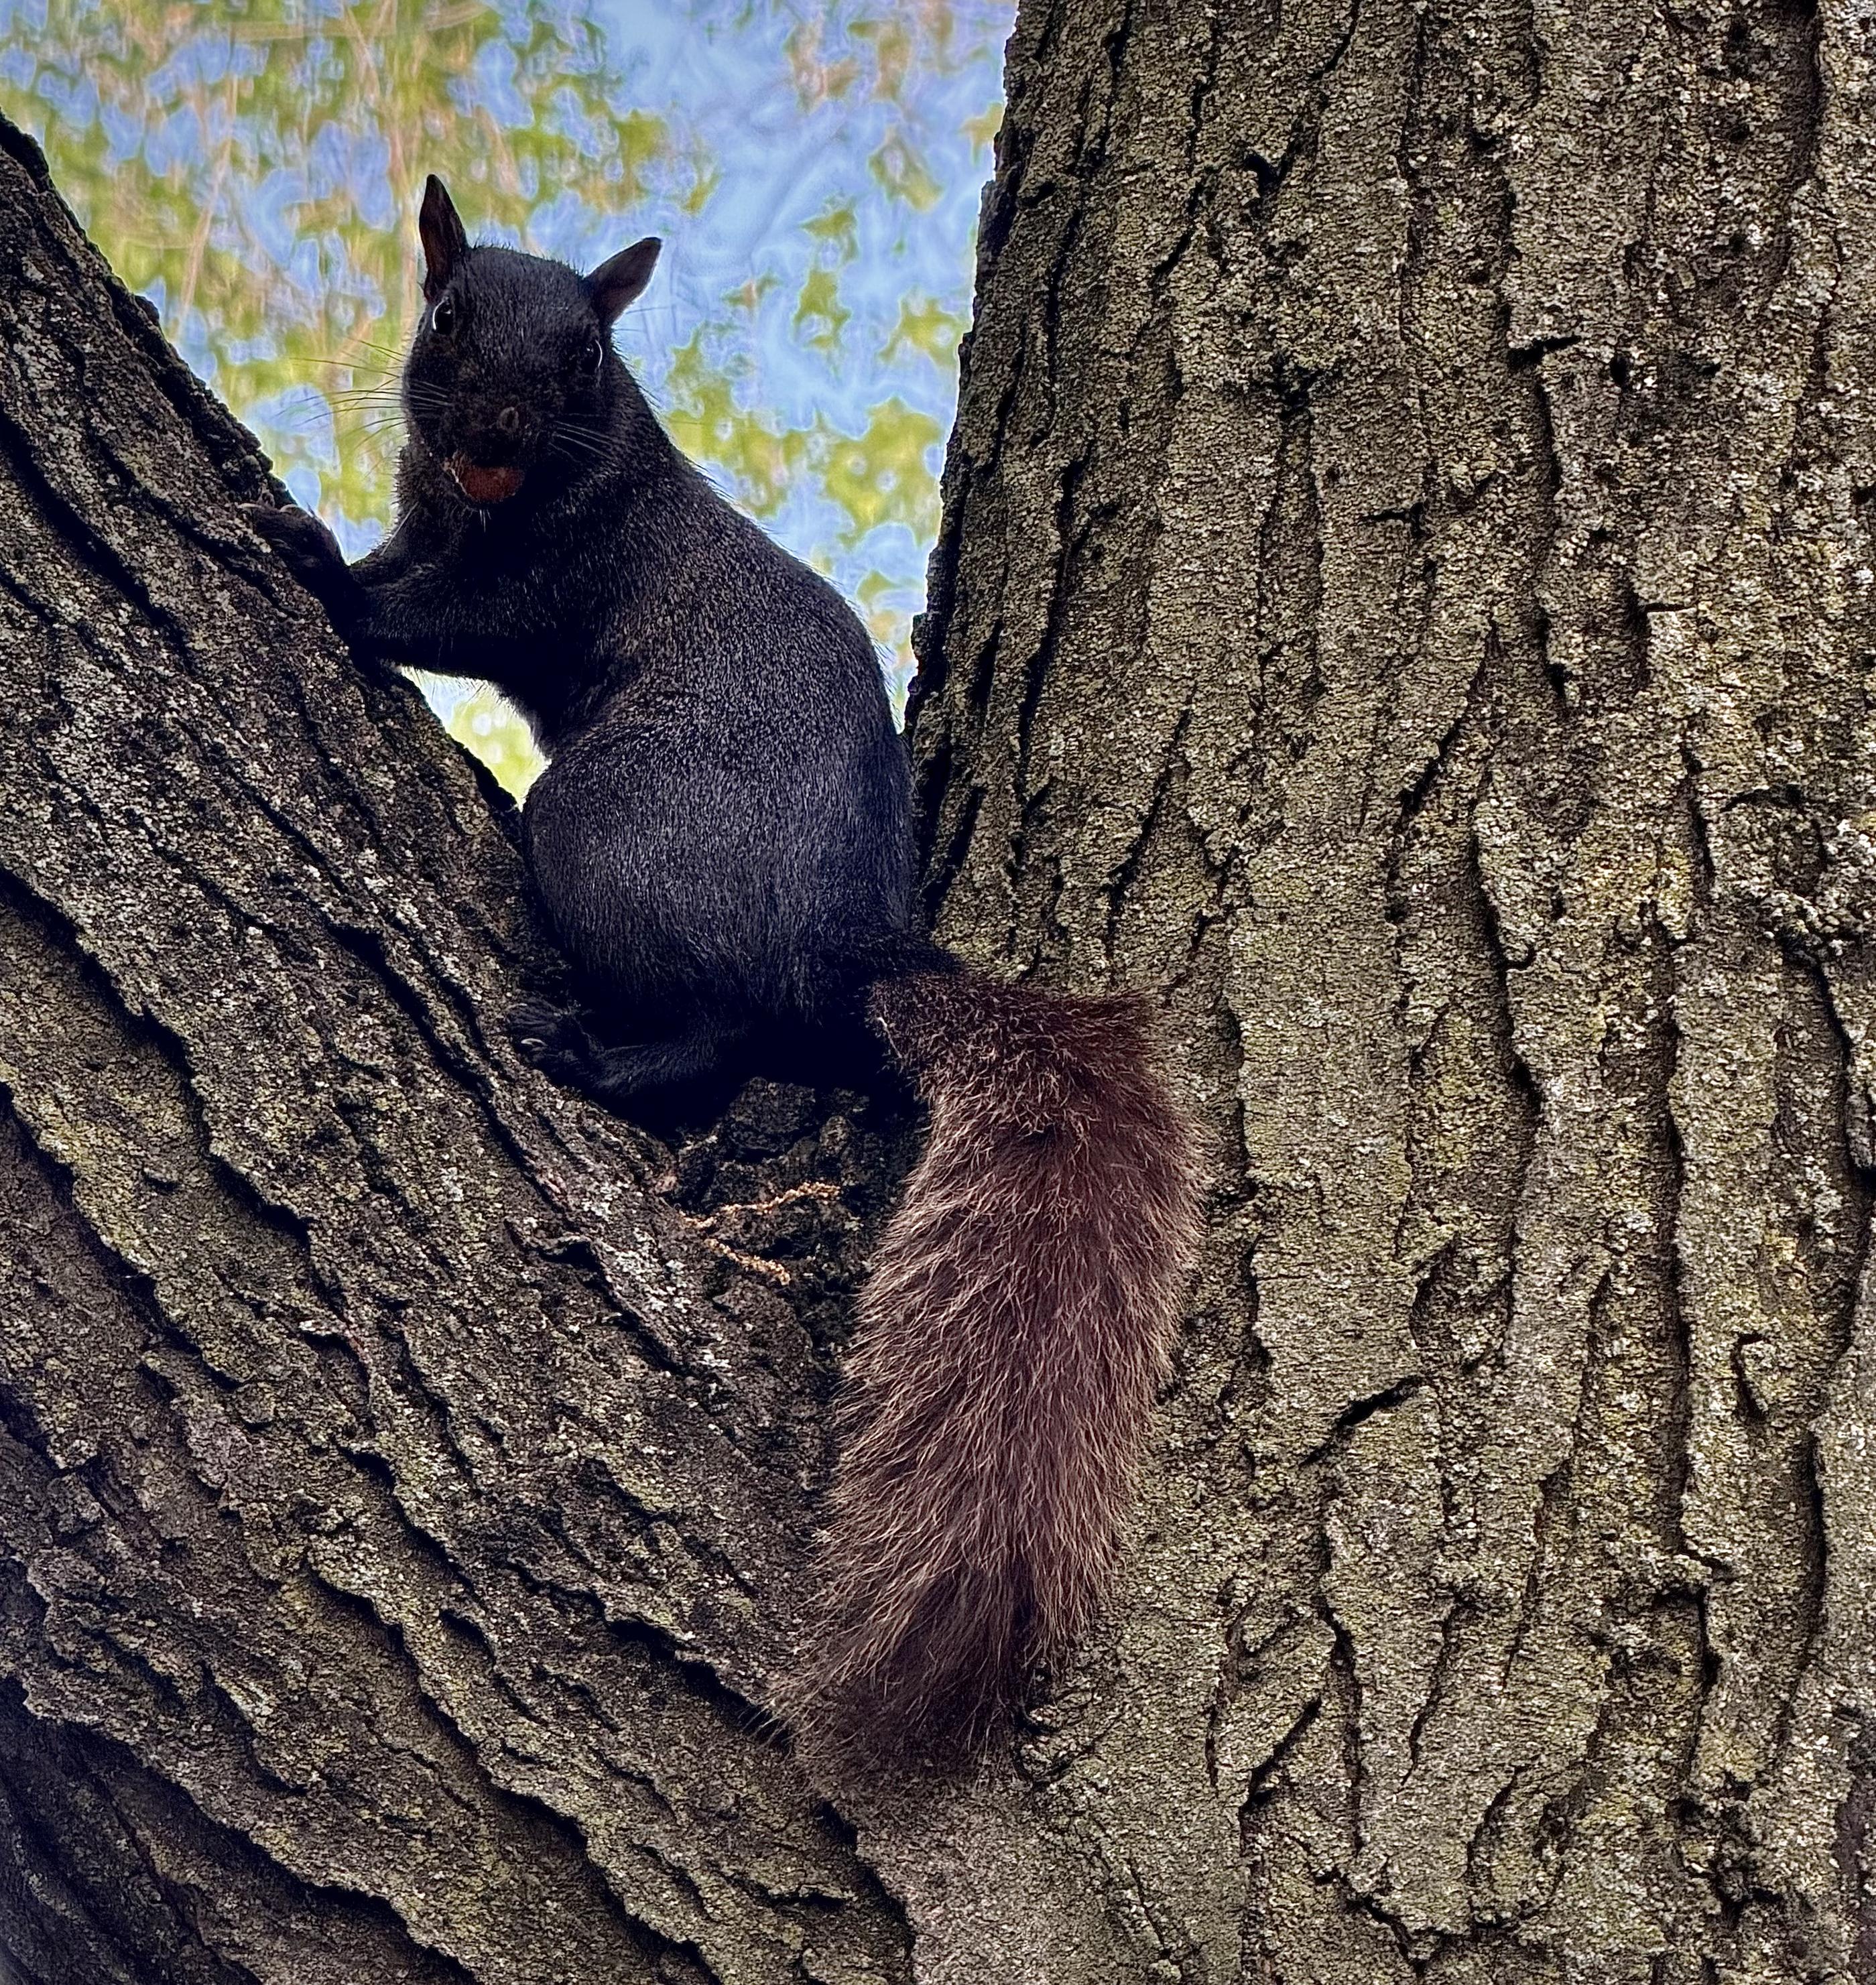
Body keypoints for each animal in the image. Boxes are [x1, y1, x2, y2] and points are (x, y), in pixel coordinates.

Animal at [246, 177, 1200, 1763]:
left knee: (723, 1033)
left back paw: (601, 1055)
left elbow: (433, 618)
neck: (524, 490)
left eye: (585, 357)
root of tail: (849, 945)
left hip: (607, 829)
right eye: (444, 317)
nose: (496, 429)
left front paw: (315, 566)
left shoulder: (551, 577)